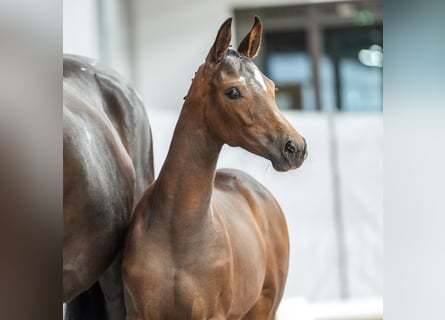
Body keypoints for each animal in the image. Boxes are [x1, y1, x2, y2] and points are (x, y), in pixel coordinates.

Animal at [122, 17, 306, 320]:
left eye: (272, 88)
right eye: (233, 91)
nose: (295, 147)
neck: (178, 232)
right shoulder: (140, 314)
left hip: (265, 307)